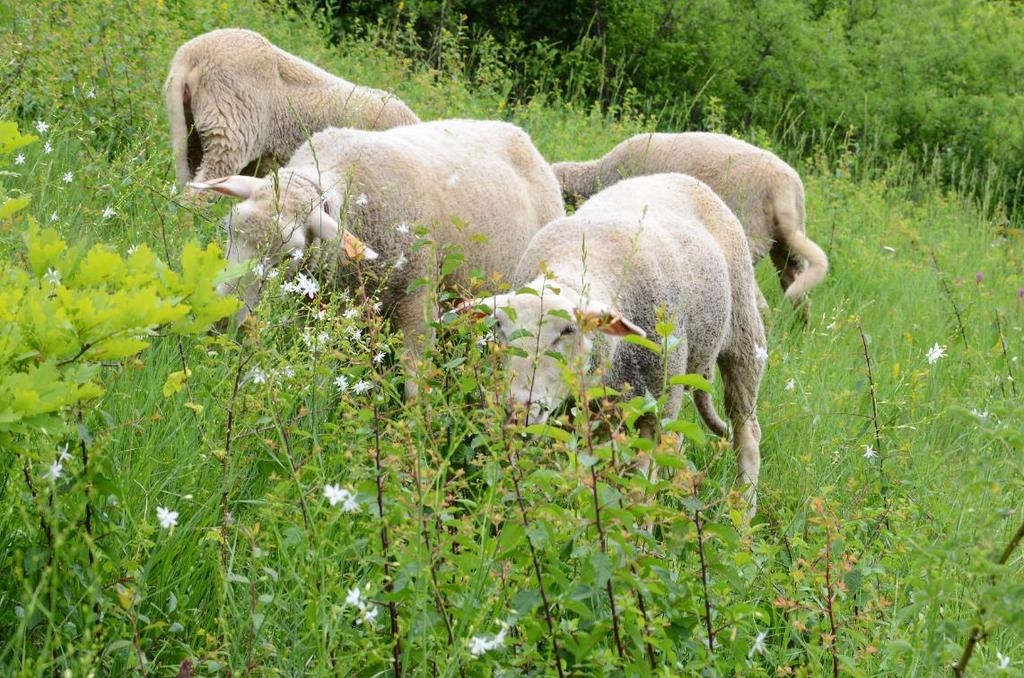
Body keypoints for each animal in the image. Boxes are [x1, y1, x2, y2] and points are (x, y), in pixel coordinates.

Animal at [188, 118, 565, 387]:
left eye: (287, 255)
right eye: (229, 228)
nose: (217, 320)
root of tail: (523, 137)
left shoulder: (418, 300)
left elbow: (415, 381)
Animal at [464, 173, 770, 518]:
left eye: (568, 329)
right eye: (499, 327)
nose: (518, 408)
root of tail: (676, 176)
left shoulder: (654, 409)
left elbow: (640, 491)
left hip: (743, 336)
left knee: (747, 433)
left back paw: (743, 514)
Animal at [552, 130, 831, 311]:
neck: (596, 175)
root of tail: (781, 185)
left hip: (749, 232)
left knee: (758, 300)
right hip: (787, 242)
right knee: (799, 294)